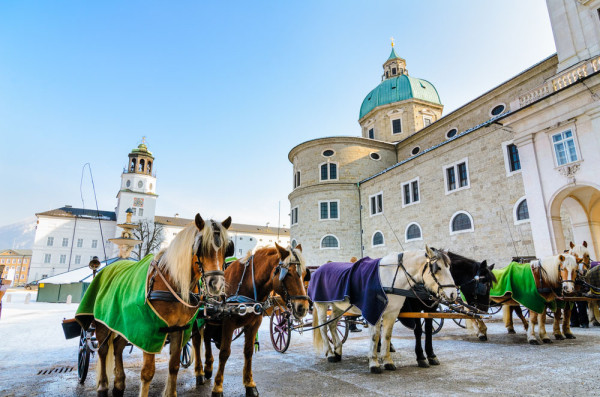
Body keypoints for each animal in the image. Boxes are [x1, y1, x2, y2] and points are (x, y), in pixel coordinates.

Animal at [76, 213, 231, 396]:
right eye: (201, 247)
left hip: (123, 324)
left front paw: (171, 392)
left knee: (118, 347)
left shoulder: (179, 328)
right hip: (103, 323)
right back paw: (103, 386)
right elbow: (147, 372)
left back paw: (119, 384)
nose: (217, 284)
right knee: (103, 350)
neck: (172, 282)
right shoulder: (148, 331)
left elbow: (174, 366)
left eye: (226, 249)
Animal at [197, 243, 310, 396]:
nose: (303, 307)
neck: (247, 283)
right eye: (288, 274)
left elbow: (249, 351)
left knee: (208, 335)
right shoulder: (228, 323)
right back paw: (202, 371)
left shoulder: (254, 323)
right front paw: (218, 387)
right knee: (201, 339)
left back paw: (208, 367)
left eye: (304, 274)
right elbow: (225, 353)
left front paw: (249, 384)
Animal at [312, 246, 458, 372]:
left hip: (338, 307)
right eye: (438, 268)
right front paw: (374, 363)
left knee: (332, 324)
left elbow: (387, 336)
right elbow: (375, 336)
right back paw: (330, 353)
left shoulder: (392, 313)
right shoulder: (374, 311)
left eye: (449, 267)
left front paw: (387, 361)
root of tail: (320, 268)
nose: (453, 294)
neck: (390, 278)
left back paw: (337, 351)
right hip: (321, 305)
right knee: (323, 327)